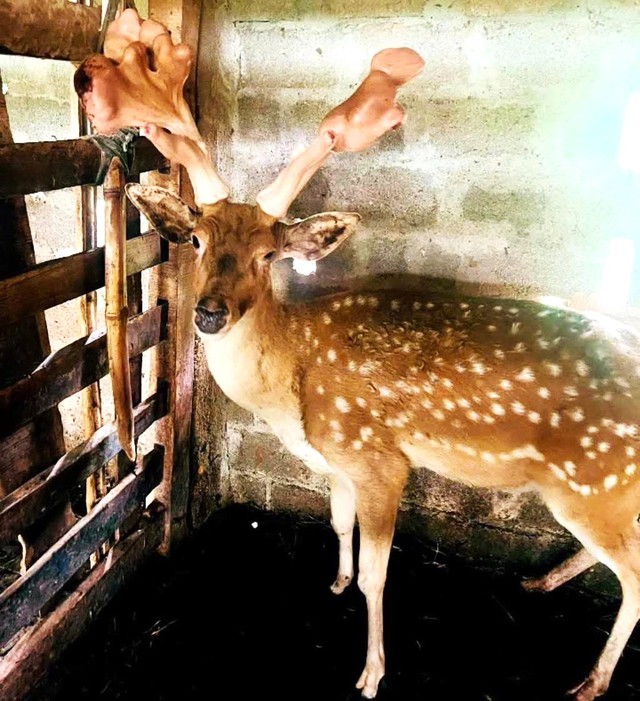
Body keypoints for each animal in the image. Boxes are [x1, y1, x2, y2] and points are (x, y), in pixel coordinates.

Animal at [74, 9, 640, 701]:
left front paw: (370, 672)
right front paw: (336, 581)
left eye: (269, 254)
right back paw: (542, 582)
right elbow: (338, 524)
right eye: (199, 240)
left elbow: (379, 575)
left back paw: (593, 680)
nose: (208, 312)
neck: (290, 384)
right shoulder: (338, 460)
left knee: (636, 578)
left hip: (595, 480)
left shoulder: (377, 457)